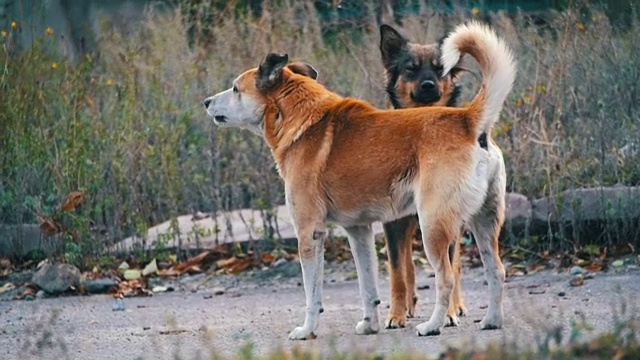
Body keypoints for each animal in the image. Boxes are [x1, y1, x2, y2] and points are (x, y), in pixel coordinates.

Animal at [205, 21, 516, 338]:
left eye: (235, 88)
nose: (206, 101)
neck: (301, 120)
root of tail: (467, 120)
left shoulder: (309, 232)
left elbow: (312, 295)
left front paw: (307, 330)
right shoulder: (359, 232)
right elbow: (369, 288)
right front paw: (370, 325)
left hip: (433, 226)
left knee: (446, 279)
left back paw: (433, 325)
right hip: (484, 223)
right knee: (497, 271)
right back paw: (492, 321)